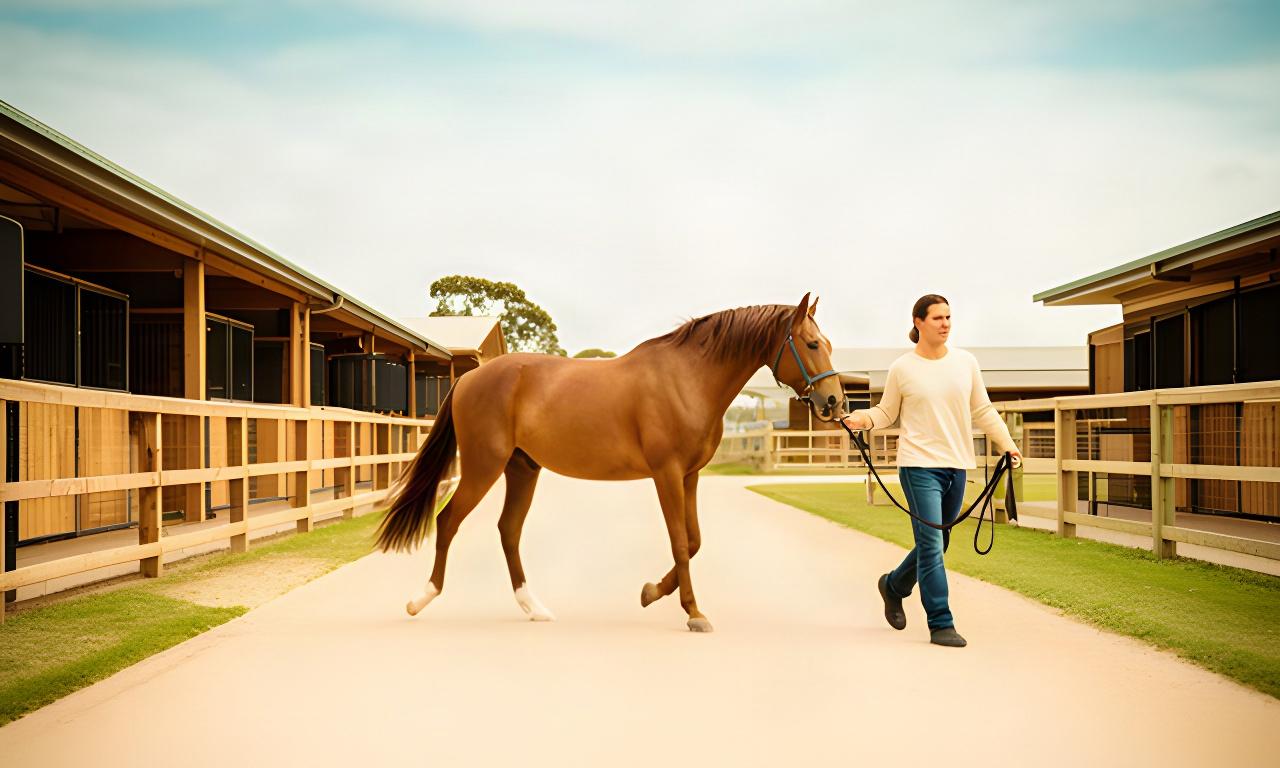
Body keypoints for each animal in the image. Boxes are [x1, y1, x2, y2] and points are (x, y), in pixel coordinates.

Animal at [375, 293, 845, 632]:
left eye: (826, 344)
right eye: (811, 344)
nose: (834, 402)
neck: (687, 378)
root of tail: (470, 376)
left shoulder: (689, 476)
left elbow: (693, 541)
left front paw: (651, 592)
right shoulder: (666, 474)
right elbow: (680, 542)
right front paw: (693, 613)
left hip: (521, 468)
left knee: (508, 531)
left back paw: (534, 607)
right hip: (483, 466)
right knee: (448, 521)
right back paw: (421, 599)